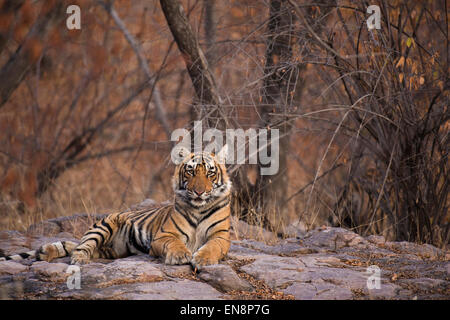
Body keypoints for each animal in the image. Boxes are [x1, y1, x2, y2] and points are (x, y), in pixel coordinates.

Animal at [0, 148, 232, 268]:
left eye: (210, 173)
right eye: (191, 172)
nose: (200, 192)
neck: (198, 207)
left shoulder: (221, 236)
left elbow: (213, 246)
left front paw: (203, 258)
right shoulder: (163, 235)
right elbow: (174, 243)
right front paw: (180, 255)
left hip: (113, 250)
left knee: (78, 247)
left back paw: (45, 252)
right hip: (103, 225)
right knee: (81, 247)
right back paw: (76, 259)